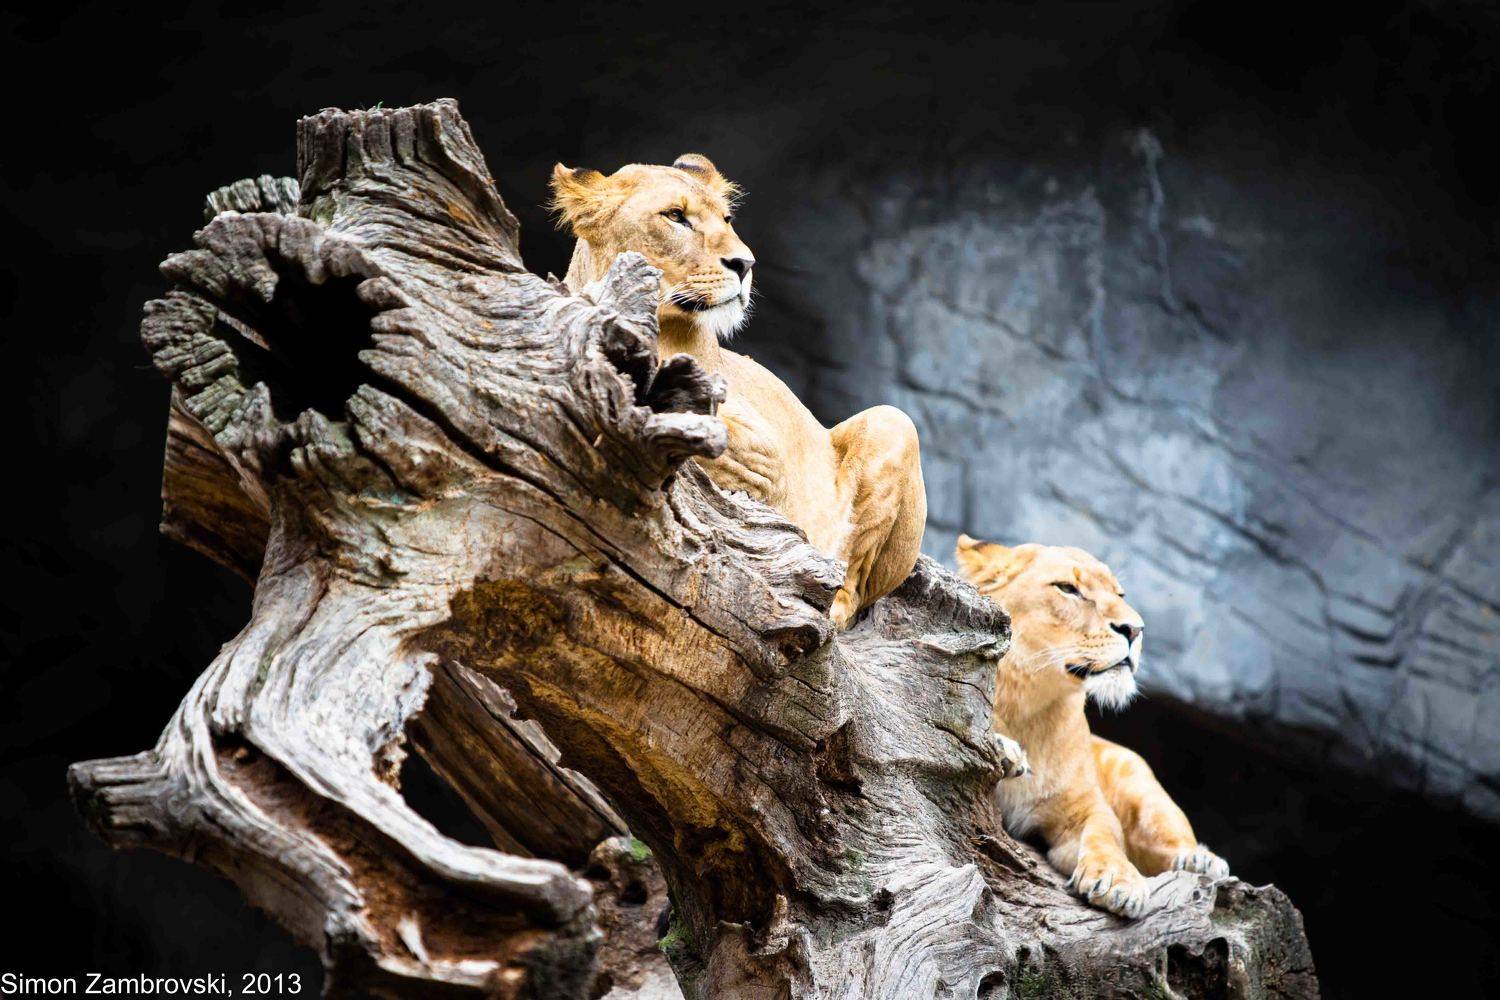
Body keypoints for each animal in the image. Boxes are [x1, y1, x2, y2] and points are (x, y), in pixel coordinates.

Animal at [551, 154, 926, 628]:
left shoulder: (764, 445)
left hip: (892, 422)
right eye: (675, 216)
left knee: (853, 586)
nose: (745, 264)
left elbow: (733, 450)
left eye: (727, 220)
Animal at [956, 535, 1230, 918]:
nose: (1135, 629)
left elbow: (1106, 835)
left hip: (1139, 780)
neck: (1026, 708)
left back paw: (1200, 861)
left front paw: (1117, 881)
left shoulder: (1083, 807)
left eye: (1119, 594)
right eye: (1068, 588)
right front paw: (1005, 751)